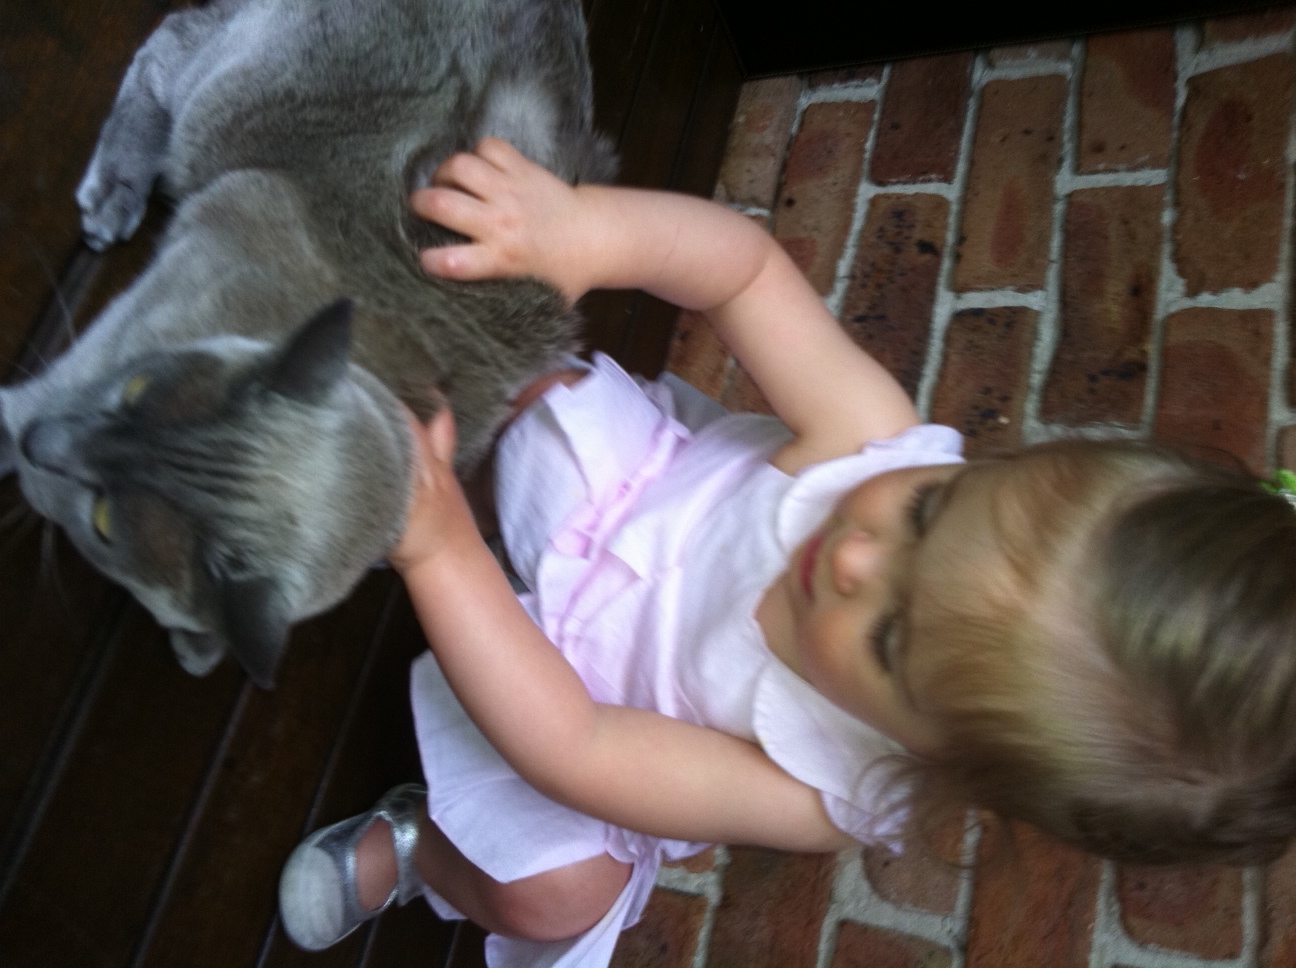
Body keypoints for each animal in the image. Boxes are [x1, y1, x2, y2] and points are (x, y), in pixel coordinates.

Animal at [0, 0, 614, 689]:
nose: (50, 443)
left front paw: (196, 643)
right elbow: (30, 407)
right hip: (229, 97)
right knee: (170, 43)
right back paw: (114, 191)